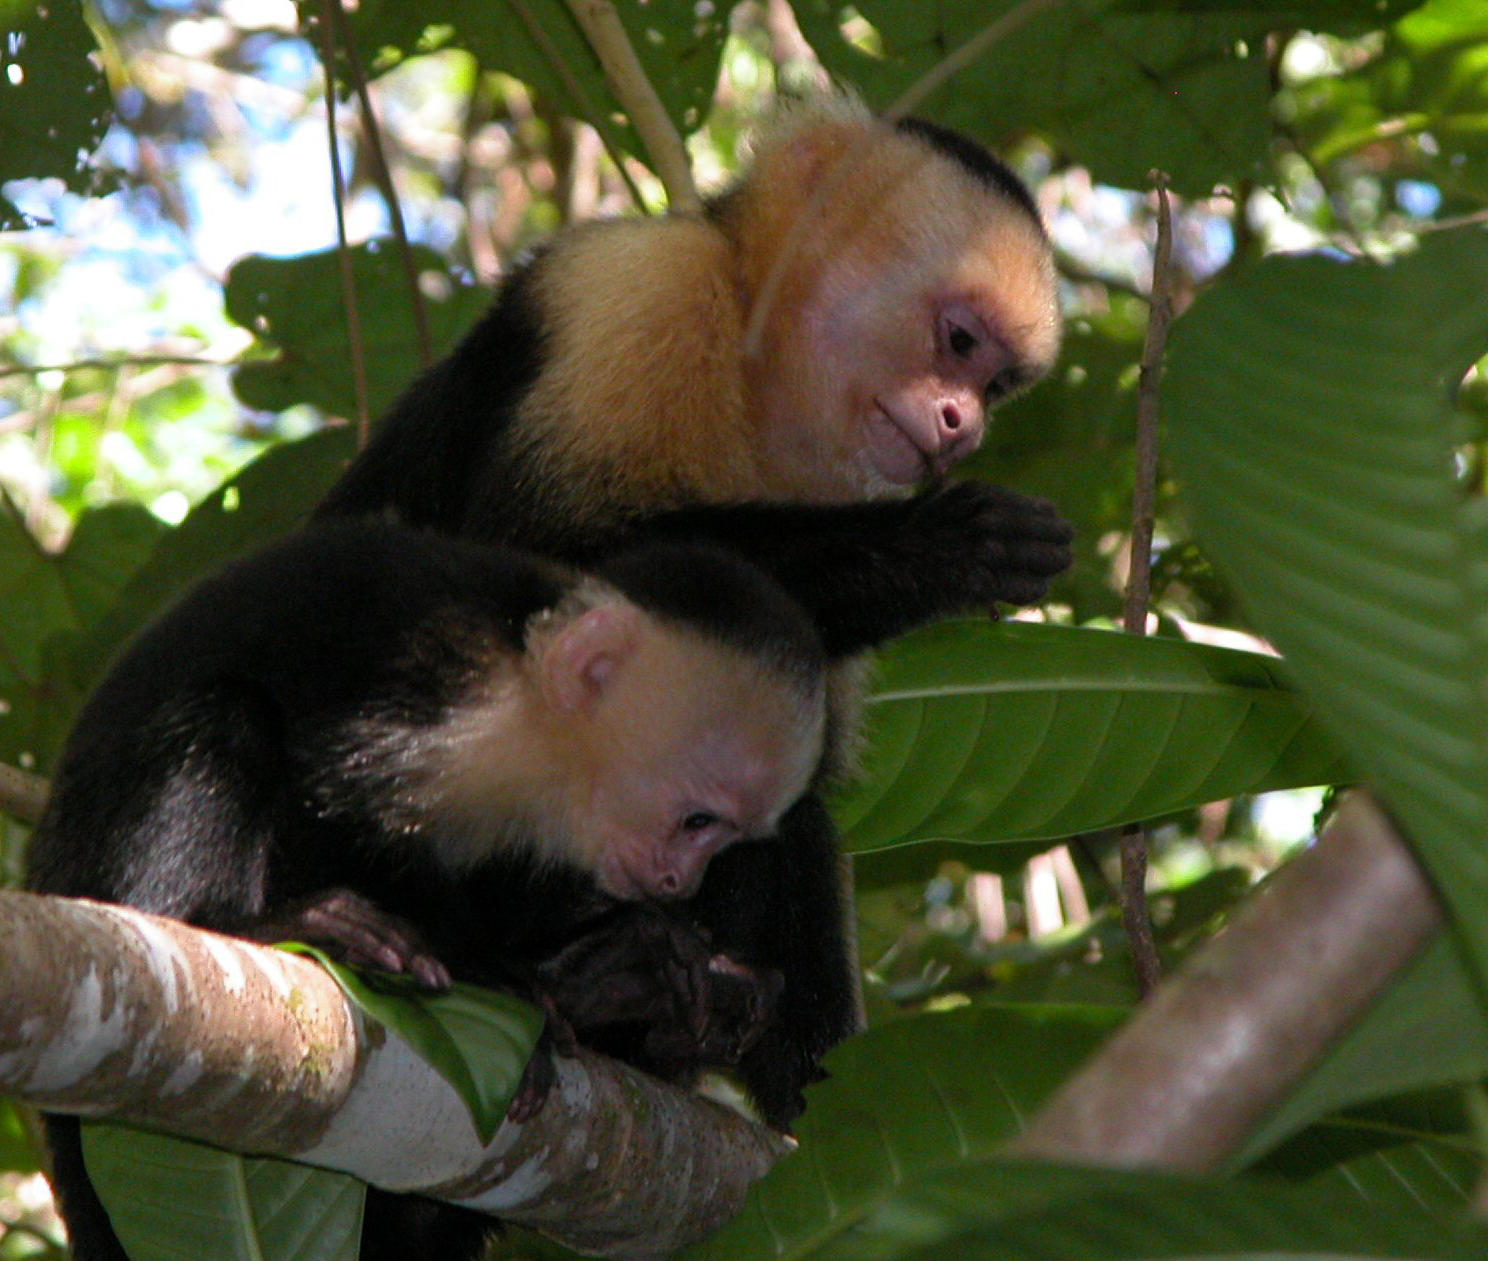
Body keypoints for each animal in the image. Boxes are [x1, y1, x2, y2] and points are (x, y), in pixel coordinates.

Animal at [29, 521, 833, 1261]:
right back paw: (238, 924)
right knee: (227, 717)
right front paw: (493, 975)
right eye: (697, 819)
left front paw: (613, 968)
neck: (531, 699)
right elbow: (332, 800)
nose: (680, 881)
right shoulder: (452, 695)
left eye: (725, 838)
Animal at [316, 96, 1083, 1155]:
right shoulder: (633, 297)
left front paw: (826, 1107)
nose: (963, 424)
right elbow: (548, 561)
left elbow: (791, 777)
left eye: (999, 383)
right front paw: (938, 545)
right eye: (959, 341)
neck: (758, 386)